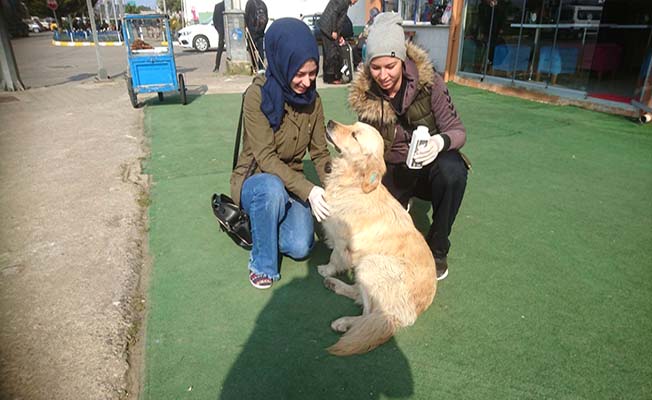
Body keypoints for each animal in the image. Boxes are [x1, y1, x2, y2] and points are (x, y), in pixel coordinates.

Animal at [318, 119, 436, 356]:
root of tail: (407, 316)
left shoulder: (343, 241)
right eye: (352, 124)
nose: (330, 122)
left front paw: (326, 269)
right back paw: (335, 286)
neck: (353, 183)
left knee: (368, 314)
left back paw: (343, 321)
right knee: (359, 297)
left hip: (370, 263)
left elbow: (335, 257)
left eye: (354, 135)